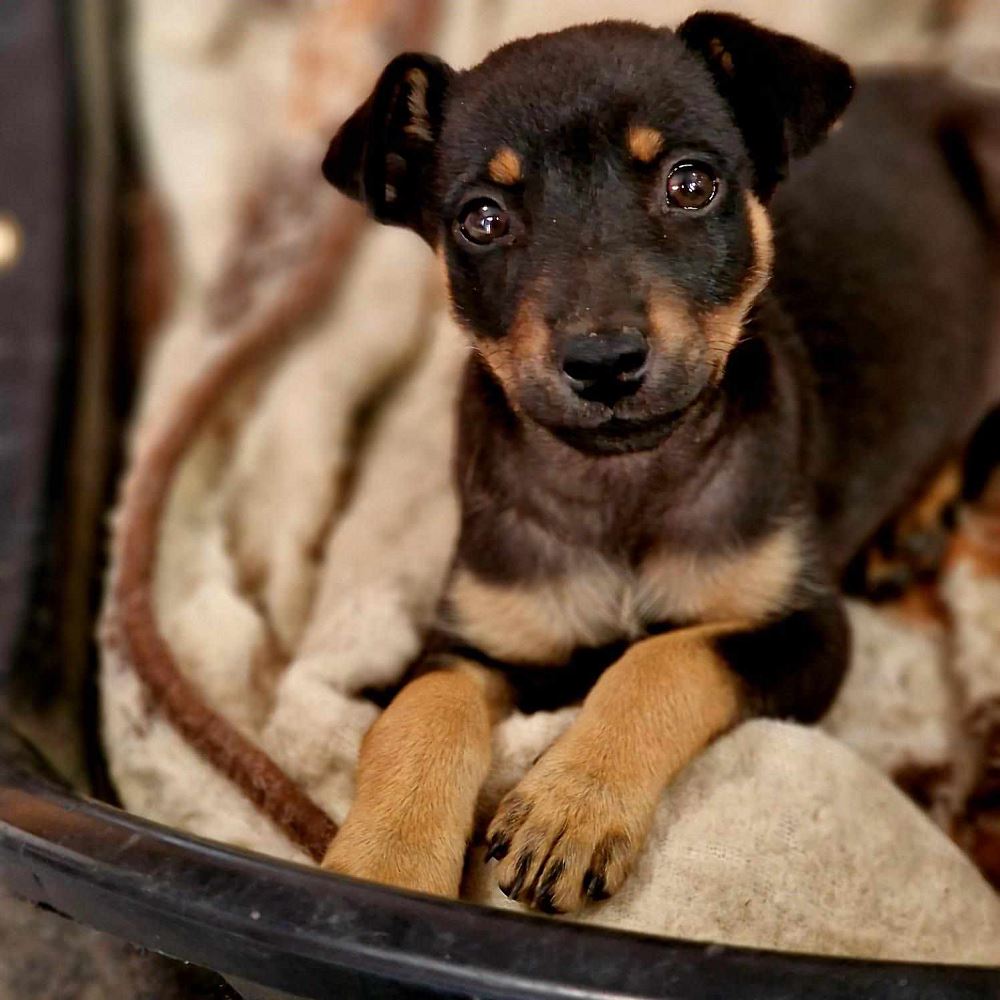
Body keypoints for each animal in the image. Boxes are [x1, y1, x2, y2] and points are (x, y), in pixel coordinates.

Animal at [318, 13, 1000, 914]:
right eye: (482, 219)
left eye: (691, 184)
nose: (603, 362)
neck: (625, 480)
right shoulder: (479, 639)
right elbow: (417, 713)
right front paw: (382, 870)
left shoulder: (804, 628)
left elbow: (661, 658)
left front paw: (571, 806)